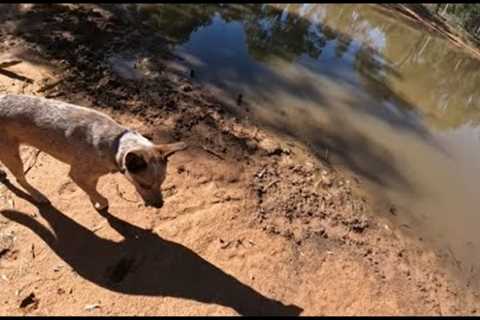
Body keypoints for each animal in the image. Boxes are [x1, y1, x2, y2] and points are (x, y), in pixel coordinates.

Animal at [0, 94, 187, 211]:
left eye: (162, 182)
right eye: (144, 185)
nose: (160, 206)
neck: (115, 144)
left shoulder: (92, 175)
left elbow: (93, 189)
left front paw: (94, 201)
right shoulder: (77, 175)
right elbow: (101, 197)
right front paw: (100, 203)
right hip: (12, 156)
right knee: (20, 178)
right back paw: (38, 196)